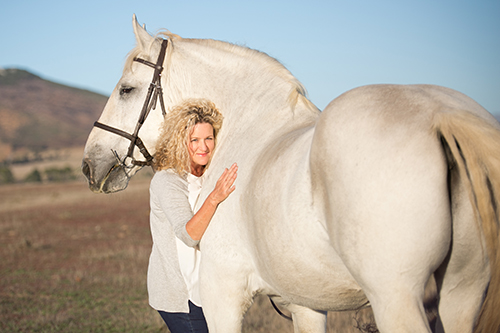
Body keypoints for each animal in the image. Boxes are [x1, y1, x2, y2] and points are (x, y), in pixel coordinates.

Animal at [82, 16, 500, 332]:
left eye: (126, 89)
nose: (89, 164)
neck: (249, 127)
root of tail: (437, 113)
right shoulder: (306, 303)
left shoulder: (222, 294)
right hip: (461, 294)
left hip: (396, 298)